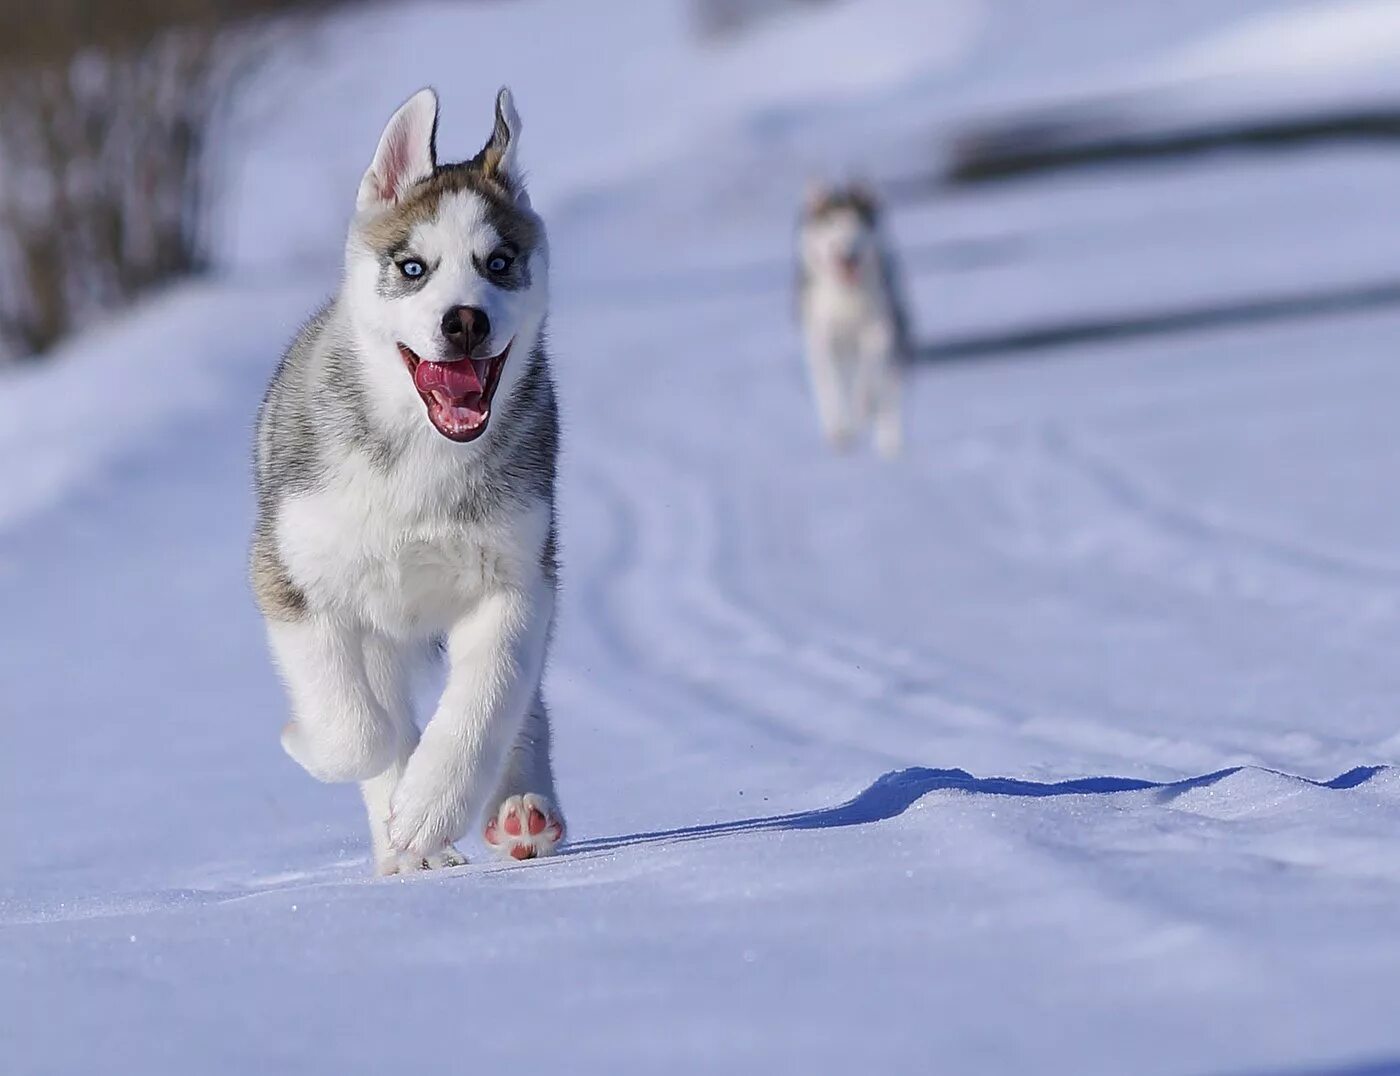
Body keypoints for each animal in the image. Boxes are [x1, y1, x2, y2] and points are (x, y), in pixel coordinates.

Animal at [252, 86, 562, 873]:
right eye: (413, 267)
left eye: (500, 262)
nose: (464, 322)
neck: (422, 459)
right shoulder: (293, 578)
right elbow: (357, 729)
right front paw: (317, 745)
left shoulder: (519, 581)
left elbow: (489, 699)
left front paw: (429, 806)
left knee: (523, 705)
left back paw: (522, 811)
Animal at [795, 181, 912, 458]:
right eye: (830, 223)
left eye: (857, 222)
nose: (848, 253)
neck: (845, 297)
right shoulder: (822, 337)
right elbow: (834, 383)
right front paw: (841, 427)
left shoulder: (878, 330)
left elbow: (867, 376)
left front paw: (864, 404)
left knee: (885, 392)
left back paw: (887, 441)